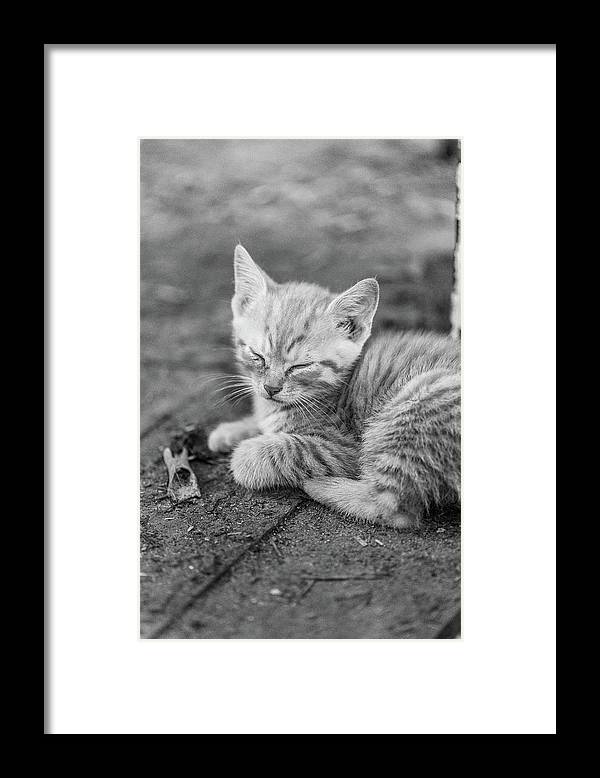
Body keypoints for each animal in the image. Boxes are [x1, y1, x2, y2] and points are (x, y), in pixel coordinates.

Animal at [206, 246, 460, 532]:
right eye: (257, 355)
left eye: (300, 366)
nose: (271, 387)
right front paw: (231, 430)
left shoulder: (342, 447)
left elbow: (284, 449)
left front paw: (244, 453)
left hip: (421, 397)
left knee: (394, 509)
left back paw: (318, 486)